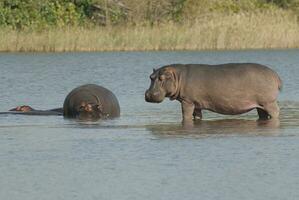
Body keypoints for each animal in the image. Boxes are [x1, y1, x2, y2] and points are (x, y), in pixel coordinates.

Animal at [145, 63, 284, 122]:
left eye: (162, 78)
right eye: (151, 77)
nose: (149, 94)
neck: (178, 76)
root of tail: (275, 75)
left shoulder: (187, 101)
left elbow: (185, 115)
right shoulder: (196, 104)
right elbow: (197, 116)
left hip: (269, 102)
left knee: (276, 112)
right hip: (260, 106)